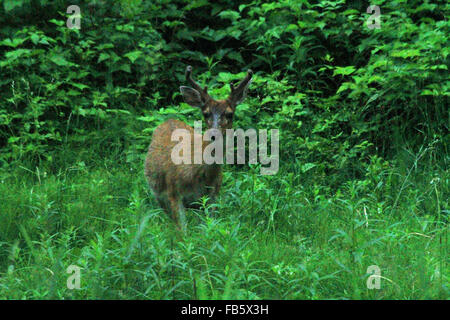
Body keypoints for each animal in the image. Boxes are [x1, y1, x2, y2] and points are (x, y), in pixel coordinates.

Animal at [144, 65, 251, 231]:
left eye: (230, 114)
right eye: (205, 113)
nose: (214, 135)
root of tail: (168, 120)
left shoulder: (213, 195)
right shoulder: (173, 192)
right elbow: (182, 231)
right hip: (157, 192)